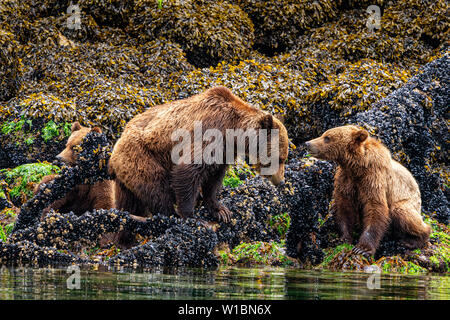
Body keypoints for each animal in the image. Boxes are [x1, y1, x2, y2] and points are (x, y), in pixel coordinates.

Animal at [108, 86, 288, 224]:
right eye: (280, 159)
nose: (280, 180)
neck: (233, 132)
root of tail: (114, 151)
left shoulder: (223, 152)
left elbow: (214, 179)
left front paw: (220, 210)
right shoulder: (209, 134)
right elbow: (188, 171)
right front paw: (193, 217)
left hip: (126, 176)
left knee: (129, 202)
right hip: (141, 157)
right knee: (156, 187)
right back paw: (169, 214)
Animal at [308, 125, 430, 258]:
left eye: (327, 138)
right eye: (324, 134)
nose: (307, 143)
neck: (357, 166)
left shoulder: (374, 177)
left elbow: (375, 207)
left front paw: (362, 248)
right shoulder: (346, 180)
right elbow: (344, 207)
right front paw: (344, 238)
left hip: (409, 201)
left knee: (402, 213)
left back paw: (413, 240)